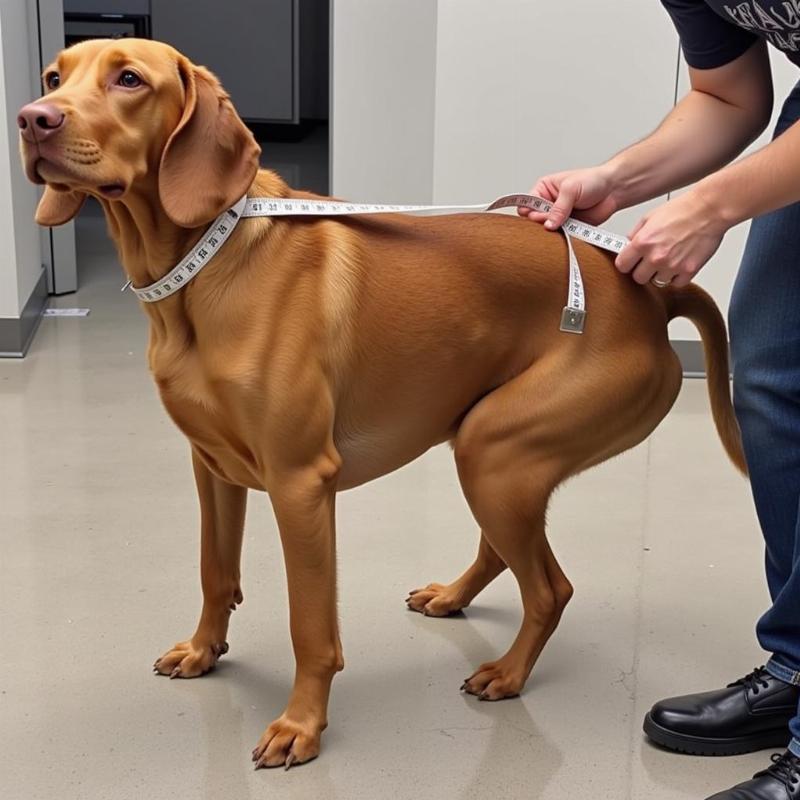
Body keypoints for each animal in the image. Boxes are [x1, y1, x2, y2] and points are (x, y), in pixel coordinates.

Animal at [15, 39, 748, 768]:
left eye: (129, 79)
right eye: (53, 76)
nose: (31, 119)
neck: (205, 265)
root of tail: (652, 296)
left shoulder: (300, 485)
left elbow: (311, 627)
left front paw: (302, 725)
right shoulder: (213, 468)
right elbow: (214, 573)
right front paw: (204, 650)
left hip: (497, 453)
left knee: (549, 587)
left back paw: (509, 673)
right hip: (491, 451)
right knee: (504, 553)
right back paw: (452, 597)